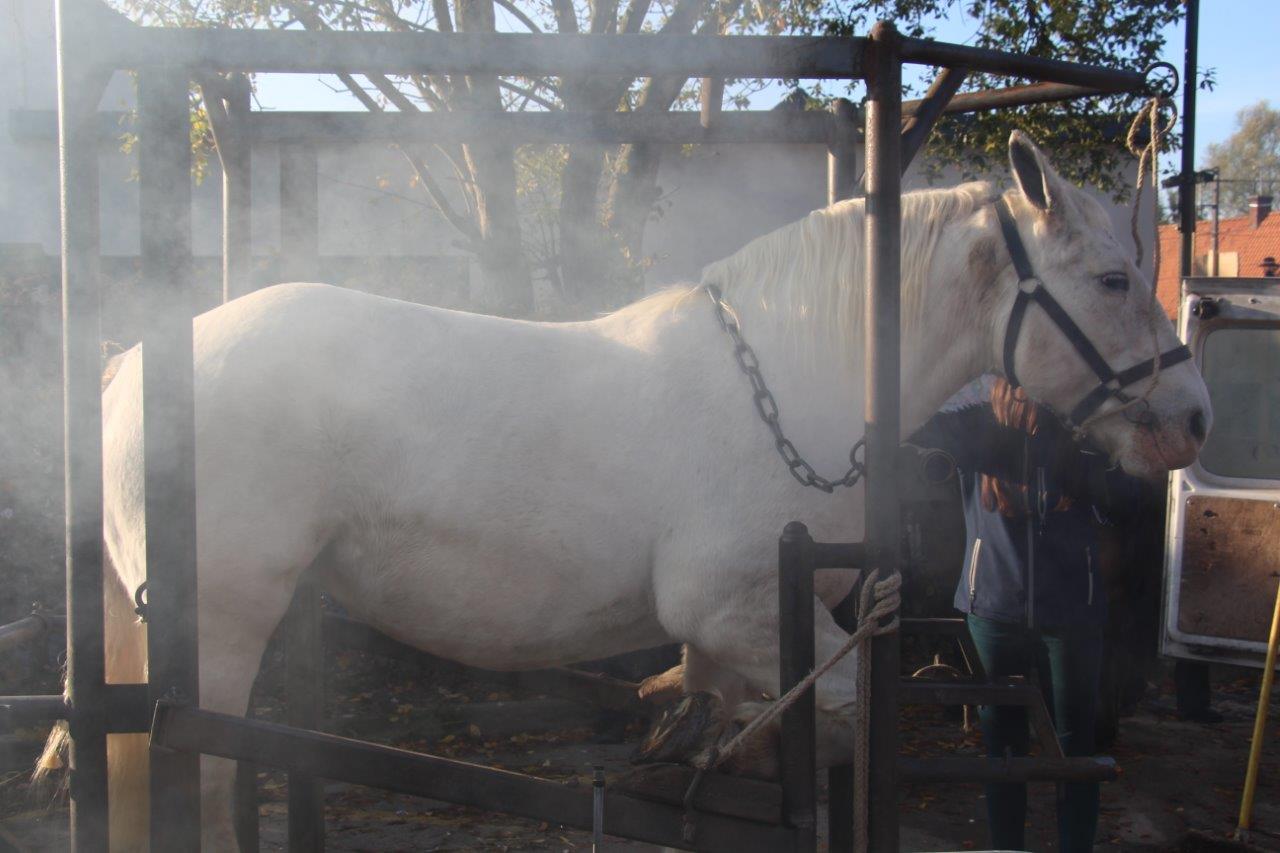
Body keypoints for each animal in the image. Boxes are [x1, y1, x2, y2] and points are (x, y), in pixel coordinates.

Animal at [77, 129, 1198, 845]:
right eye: (1111, 279)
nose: (1190, 419)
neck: (792, 376)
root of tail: (140, 360)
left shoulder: (736, 636)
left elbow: (732, 727)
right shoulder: (732, 607)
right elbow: (836, 713)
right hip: (220, 627)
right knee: (201, 779)